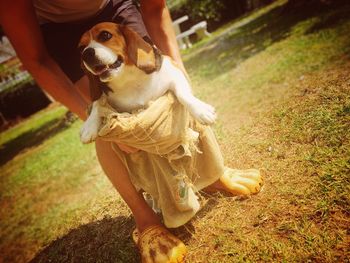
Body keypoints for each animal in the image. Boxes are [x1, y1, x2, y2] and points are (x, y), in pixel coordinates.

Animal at [79, 22, 216, 144]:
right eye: (81, 48)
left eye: (105, 35)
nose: (86, 54)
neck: (129, 79)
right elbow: (97, 103)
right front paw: (89, 126)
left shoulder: (174, 73)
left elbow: (183, 94)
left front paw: (201, 110)